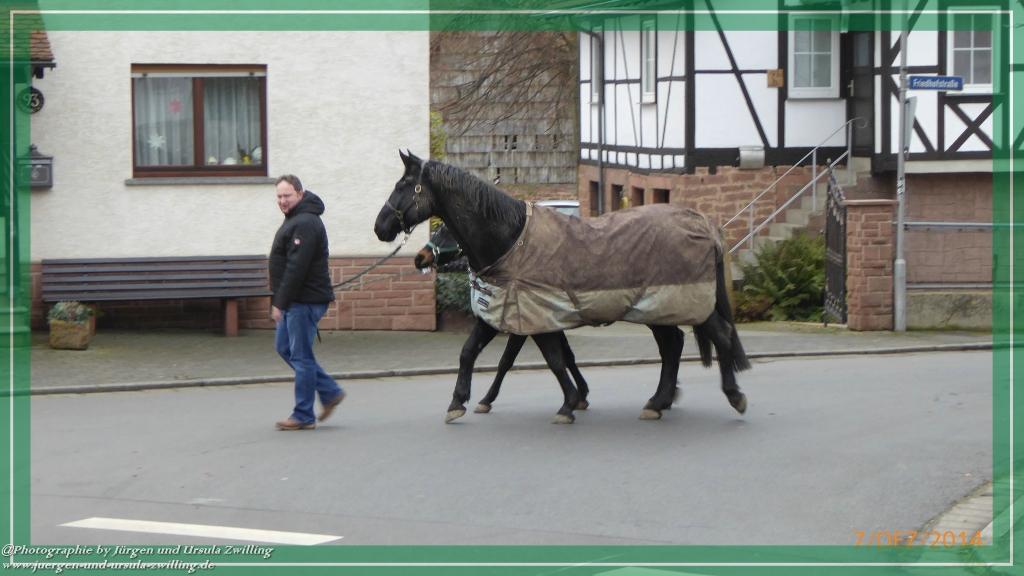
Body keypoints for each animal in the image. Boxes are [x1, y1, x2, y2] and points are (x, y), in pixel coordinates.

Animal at [415, 223, 592, 417]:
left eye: (446, 230)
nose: (420, 257)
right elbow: (566, 355)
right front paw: (581, 394)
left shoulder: (526, 326)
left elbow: (507, 360)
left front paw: (486, 399)